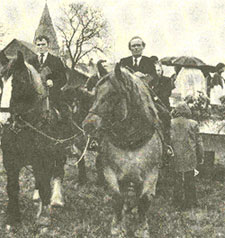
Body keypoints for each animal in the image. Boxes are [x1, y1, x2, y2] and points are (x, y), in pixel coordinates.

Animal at [0, 51, 75, 226]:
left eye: (19, 82)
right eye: (1, 82)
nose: (3, 118)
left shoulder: (45, 159)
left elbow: (45, 185)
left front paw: (44, 217)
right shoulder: (10, 160)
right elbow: (12, 187)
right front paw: (13, 217)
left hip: (60, 151)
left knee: (58, 172)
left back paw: (56, 199)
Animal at [82, 66, 163, 235]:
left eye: (113, 94)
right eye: (95, 92)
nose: (88, 125)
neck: (130, 142)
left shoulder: (152, 173)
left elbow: (145, 199)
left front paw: (141, 229)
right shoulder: (110, 171)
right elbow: (117, 197)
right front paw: (117, 228)